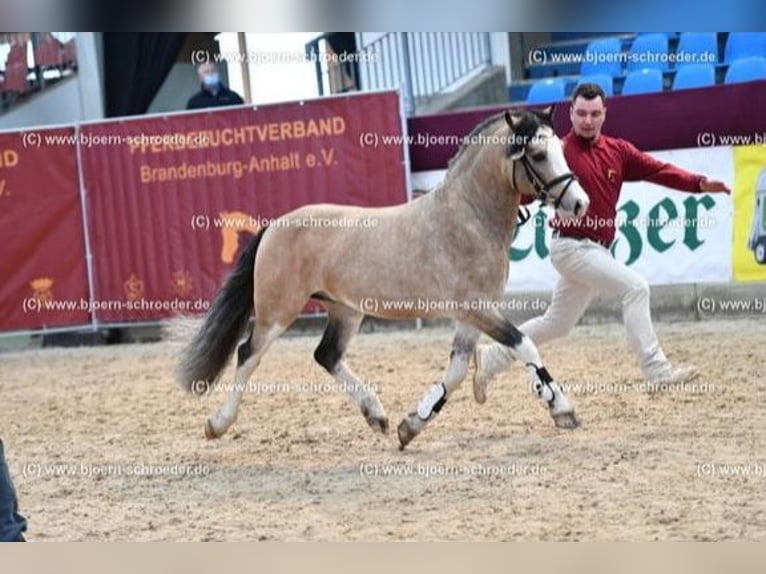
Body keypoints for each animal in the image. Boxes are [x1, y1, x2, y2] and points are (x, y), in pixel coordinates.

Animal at [177, 106, 592, 452]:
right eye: (537, 155)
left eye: (559, 149)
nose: (580, 204)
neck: (466, 219)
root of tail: (275, 225)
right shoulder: (475, 308)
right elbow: (524, 345)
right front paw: (562, 409)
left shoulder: (472, 313)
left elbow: (458, 370)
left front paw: (411, 426)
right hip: (278, 311)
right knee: (248, 354)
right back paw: (217, 423)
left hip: (345, 310)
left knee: (326, 355)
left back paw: (376, 414)